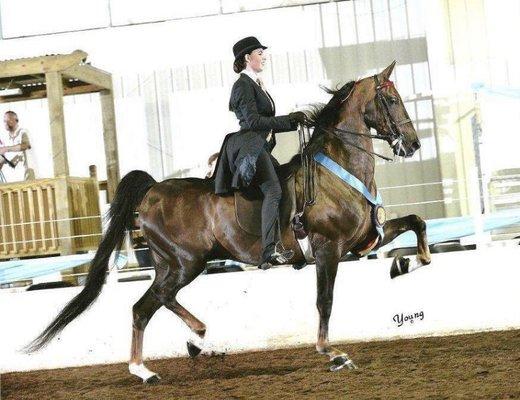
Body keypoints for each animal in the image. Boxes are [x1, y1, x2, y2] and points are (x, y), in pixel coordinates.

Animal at [27, 61, 430, 382]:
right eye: (392, 100)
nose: (412, 145)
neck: (338, 171)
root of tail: (153, 190)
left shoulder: (363, 241)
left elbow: (418, 225)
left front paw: (406, 264)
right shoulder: (327, 248)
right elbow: (325, 300)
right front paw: (333, 354)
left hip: (171, 263)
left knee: (149, 304)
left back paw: (167, 356)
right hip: (187, 262)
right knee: (156, 300)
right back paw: (174, 351)